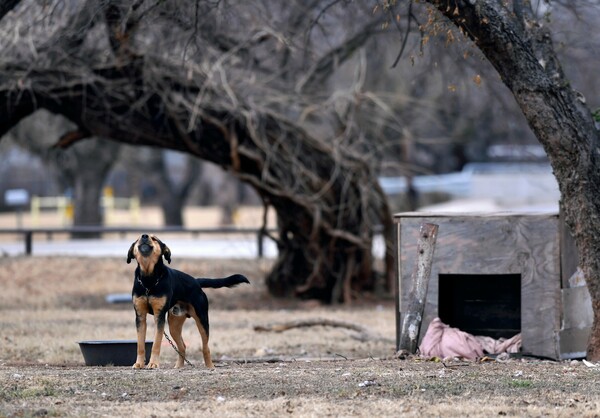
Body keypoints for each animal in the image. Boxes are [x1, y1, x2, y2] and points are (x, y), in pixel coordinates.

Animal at [126, 235, 248, 370]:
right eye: (137, 239)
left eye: (155, 239)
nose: (144, 236)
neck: (148, 280)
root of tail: (196, 281)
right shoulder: (140, 316)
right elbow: (140, 345)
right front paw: (139, 364)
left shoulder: (159, 316)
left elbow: (156, 343)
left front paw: (153, 364)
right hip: (174, 324)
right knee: (182, 346)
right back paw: (178, 366)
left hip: (202, 319)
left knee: (205, 347)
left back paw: (210, 366)